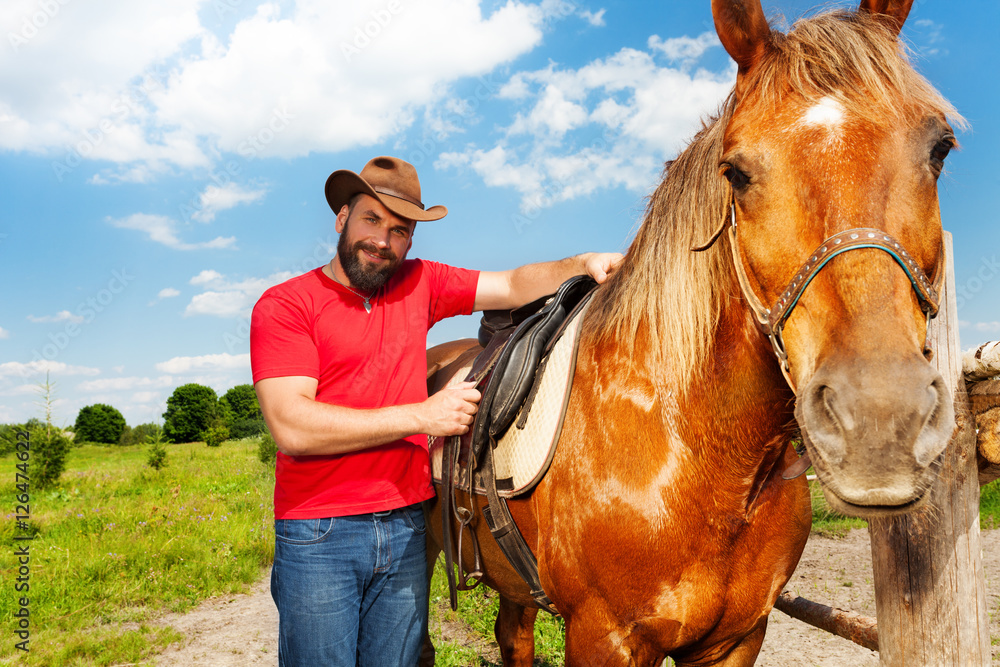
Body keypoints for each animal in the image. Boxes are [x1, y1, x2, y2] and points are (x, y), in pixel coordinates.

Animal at [422, 0, 960, 664]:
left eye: (940, 148)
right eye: (736, 172)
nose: (881, 420)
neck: (700, 451)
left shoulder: (735, 638)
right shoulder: (606, 637)